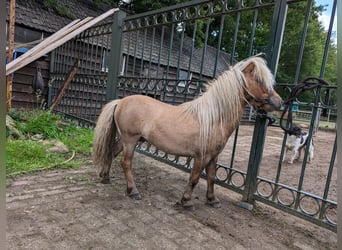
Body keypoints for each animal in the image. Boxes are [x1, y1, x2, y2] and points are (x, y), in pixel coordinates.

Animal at [92, 56, 282, 209]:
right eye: (258, 79)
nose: (279, 102)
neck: (213, 118)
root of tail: (120, 101)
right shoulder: (202, 156)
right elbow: (195, 178)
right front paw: (186, 201)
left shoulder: (213, 156)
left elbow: (211, 177)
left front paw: (212, 200)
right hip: (130, 140)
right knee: (126, 162)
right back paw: (133, 191)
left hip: (128, 140)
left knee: (112, 152)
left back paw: (105, 177)